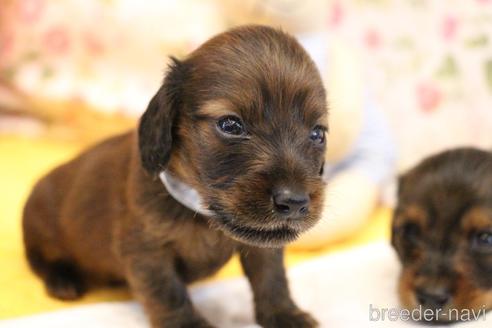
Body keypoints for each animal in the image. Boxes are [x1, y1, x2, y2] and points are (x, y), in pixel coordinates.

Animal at [24, 26, 330, 328]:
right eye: (230, 125)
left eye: (318, 133)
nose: (295, 202)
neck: (202, 214)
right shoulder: (147, 251)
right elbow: (168, 291)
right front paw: (188, 324)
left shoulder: (263, 247)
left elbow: (272, 279)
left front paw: (285, 315)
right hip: (40, 229)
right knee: (40, 259)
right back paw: (63, 279)